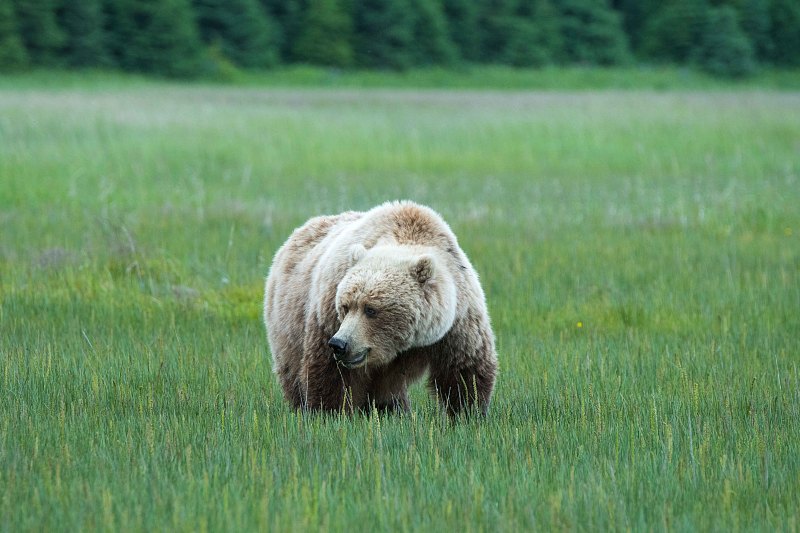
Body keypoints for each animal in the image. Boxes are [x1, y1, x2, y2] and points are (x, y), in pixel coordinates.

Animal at [266, 201, 496, 416]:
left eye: (370, 309)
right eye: (345, 306)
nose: (339, 344)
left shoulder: (458, 319)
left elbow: (464, 371)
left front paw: (468, 413)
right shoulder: (328, 314)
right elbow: (331, 374)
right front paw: (328, 413)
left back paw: (393, 410)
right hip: (288, 321)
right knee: (292, 370)